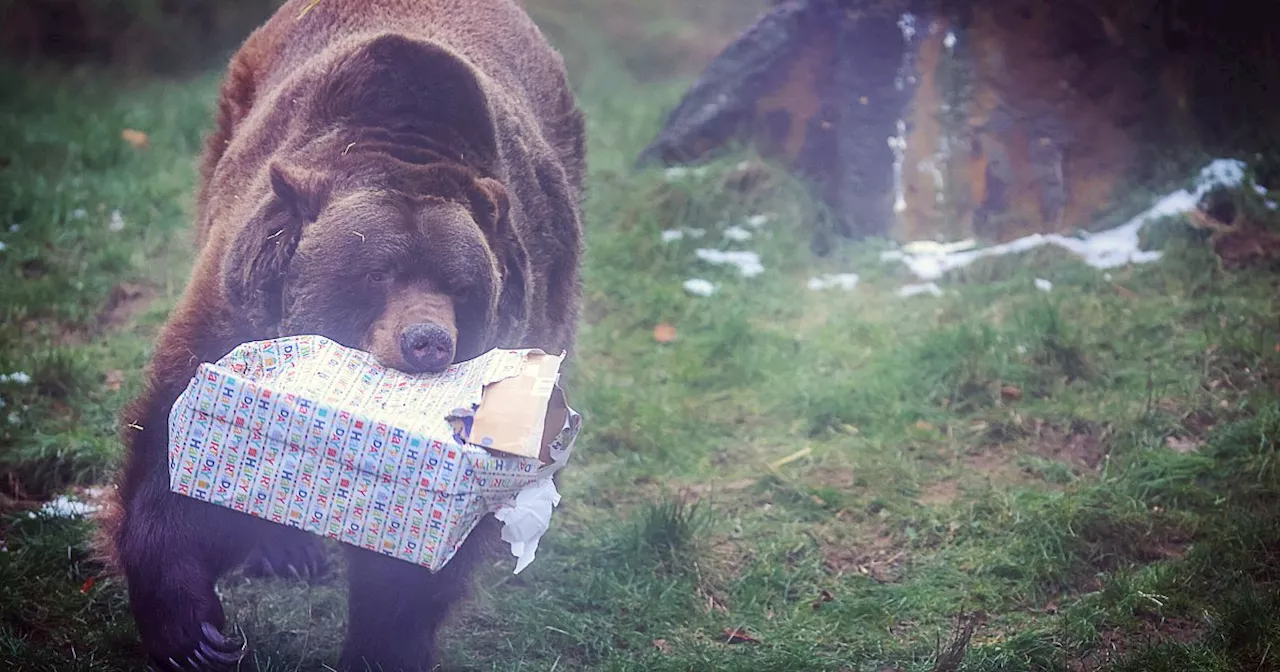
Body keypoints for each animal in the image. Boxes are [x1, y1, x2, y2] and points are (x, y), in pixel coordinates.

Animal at [101, 0, 588, 665]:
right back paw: (285, 552)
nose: (427, 340)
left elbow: (419, 556)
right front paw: (192, 634)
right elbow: (172, 456)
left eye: (460, 286)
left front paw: (386, 643)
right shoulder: (235, 306)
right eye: (377, 275)